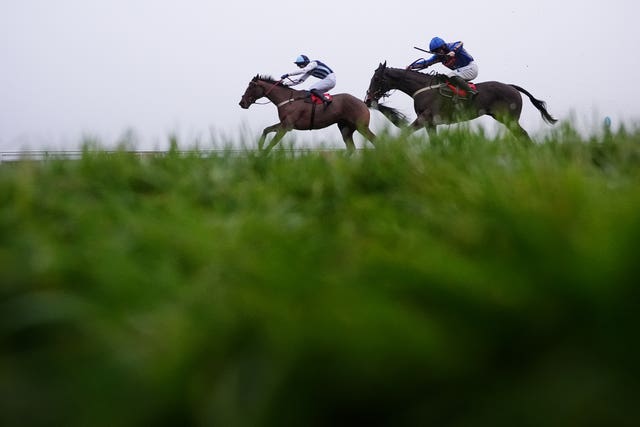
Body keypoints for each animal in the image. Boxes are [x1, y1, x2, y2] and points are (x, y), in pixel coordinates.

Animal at [240, 75, 404, 154]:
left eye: (250, 87)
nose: (242, 103)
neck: (287, 99)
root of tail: (363, 103)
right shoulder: (284, 124)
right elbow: (266, 130)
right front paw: (260, 147)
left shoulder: (286, 126)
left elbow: (273, 141)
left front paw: (263, 154)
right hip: (346, 128)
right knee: (351, 148)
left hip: (361, 126)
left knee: (375, 141)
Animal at [364, 61, 556, 138]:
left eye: (376, 79)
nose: (367, 99)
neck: (423, 88)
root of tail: (511, 87)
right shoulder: (430, 124)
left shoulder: (425, 118)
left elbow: (404, 134)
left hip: (509, 119)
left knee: (523, 135)